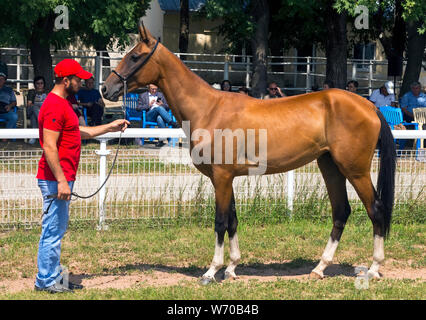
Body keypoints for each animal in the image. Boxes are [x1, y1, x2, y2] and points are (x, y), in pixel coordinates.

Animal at [102, 21, 396, 284]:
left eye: (135, 56)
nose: (107, 88)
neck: (209, 109)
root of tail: (370, 106)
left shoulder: (221, 177)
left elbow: (220, 221)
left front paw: (211, 272)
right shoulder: (225, 178)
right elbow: (233, 220)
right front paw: (231, 269)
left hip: (355, 170)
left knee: (376, 210)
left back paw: (373, 269)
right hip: (330, 166)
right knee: (341, 212)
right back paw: (319, 268)